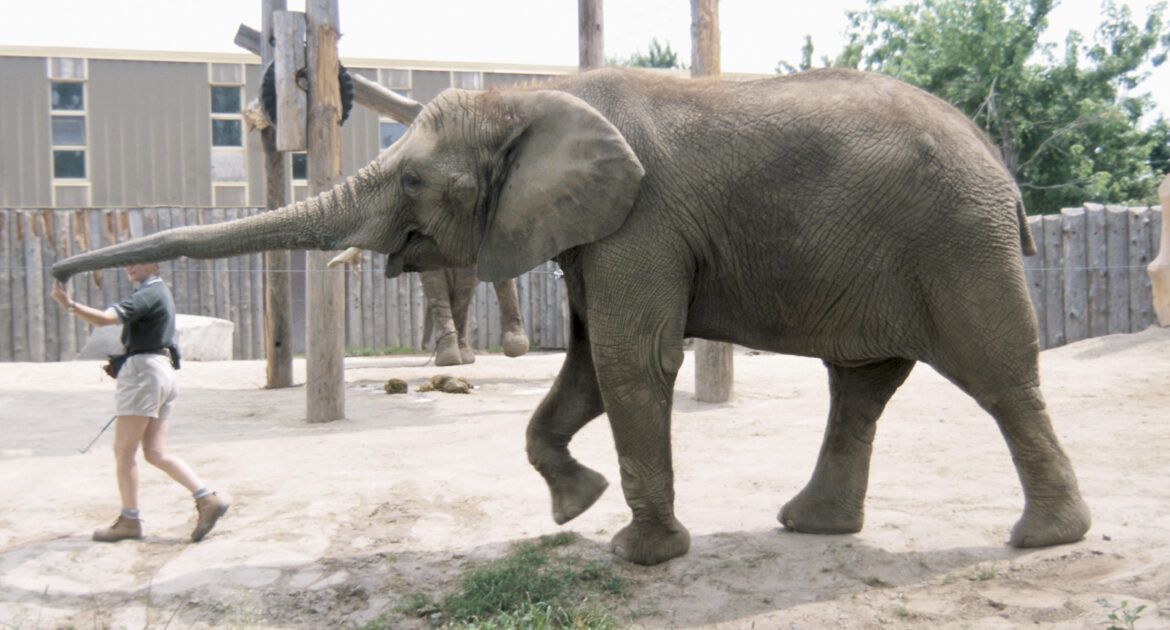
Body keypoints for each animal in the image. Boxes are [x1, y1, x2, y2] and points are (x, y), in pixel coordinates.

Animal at [54, 67, 1090, 564]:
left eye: (416, 181)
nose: (64, 275)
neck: (535, 93)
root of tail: (1001, 171)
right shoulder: (599, 232)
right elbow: (588, 365)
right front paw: (573, 507)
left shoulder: (642, 220)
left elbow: (632, 363)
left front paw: (639, 555)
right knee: (861, 388)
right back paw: (812, 528)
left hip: (958, 242)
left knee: (999, 376)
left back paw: (1046, 540)